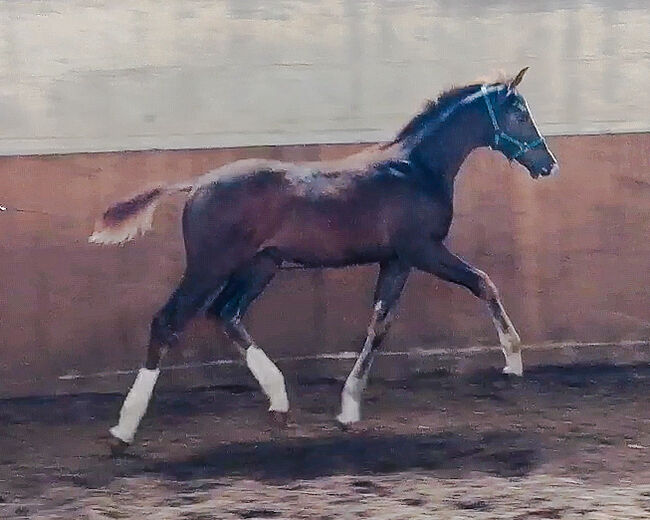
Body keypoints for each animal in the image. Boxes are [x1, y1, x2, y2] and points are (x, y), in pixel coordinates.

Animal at [90, 67, 556, 452]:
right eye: (519, 115)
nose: (548, 164)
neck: (415, 170)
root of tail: (197, 184)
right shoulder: (423, 250)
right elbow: (483, 282)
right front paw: (512, 360)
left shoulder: (397, 260)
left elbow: (380, 323)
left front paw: (348, 408)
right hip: (210, 265)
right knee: (169, 321)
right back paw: (123, 429)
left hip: (261, 265)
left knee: (226, 312)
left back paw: (279, 400)